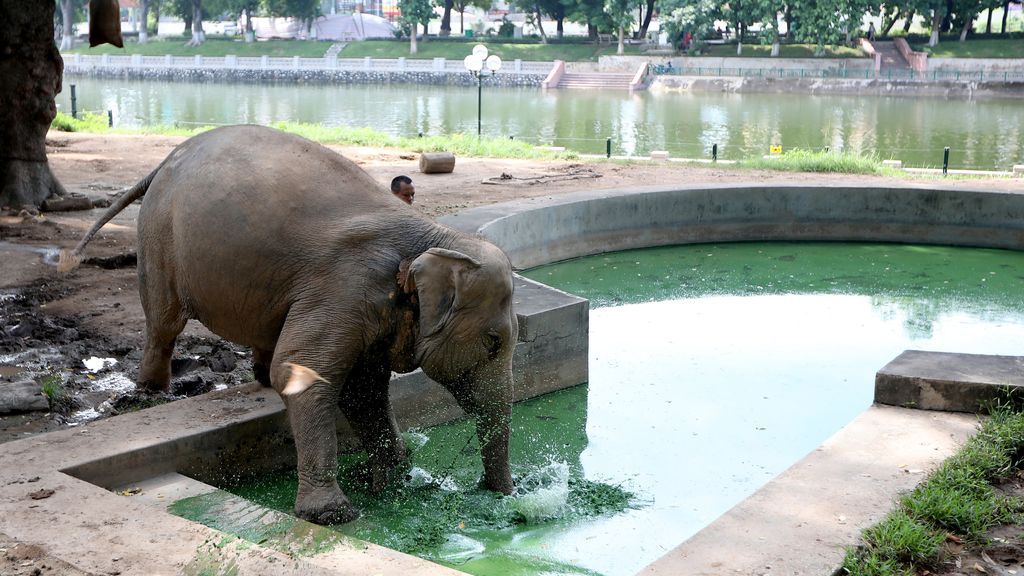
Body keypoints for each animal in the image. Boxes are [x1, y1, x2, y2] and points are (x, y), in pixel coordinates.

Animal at [64, 125, 518, 524]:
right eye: (494, 342)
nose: (501, 495)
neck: (432, 235)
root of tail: (170, 155)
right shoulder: (344, 287)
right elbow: (305, 371)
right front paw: (334, 514)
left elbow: (363, 390)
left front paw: (392, 478)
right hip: (159, 236)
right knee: (163, 322)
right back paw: (150, 393)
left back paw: (258, 378)